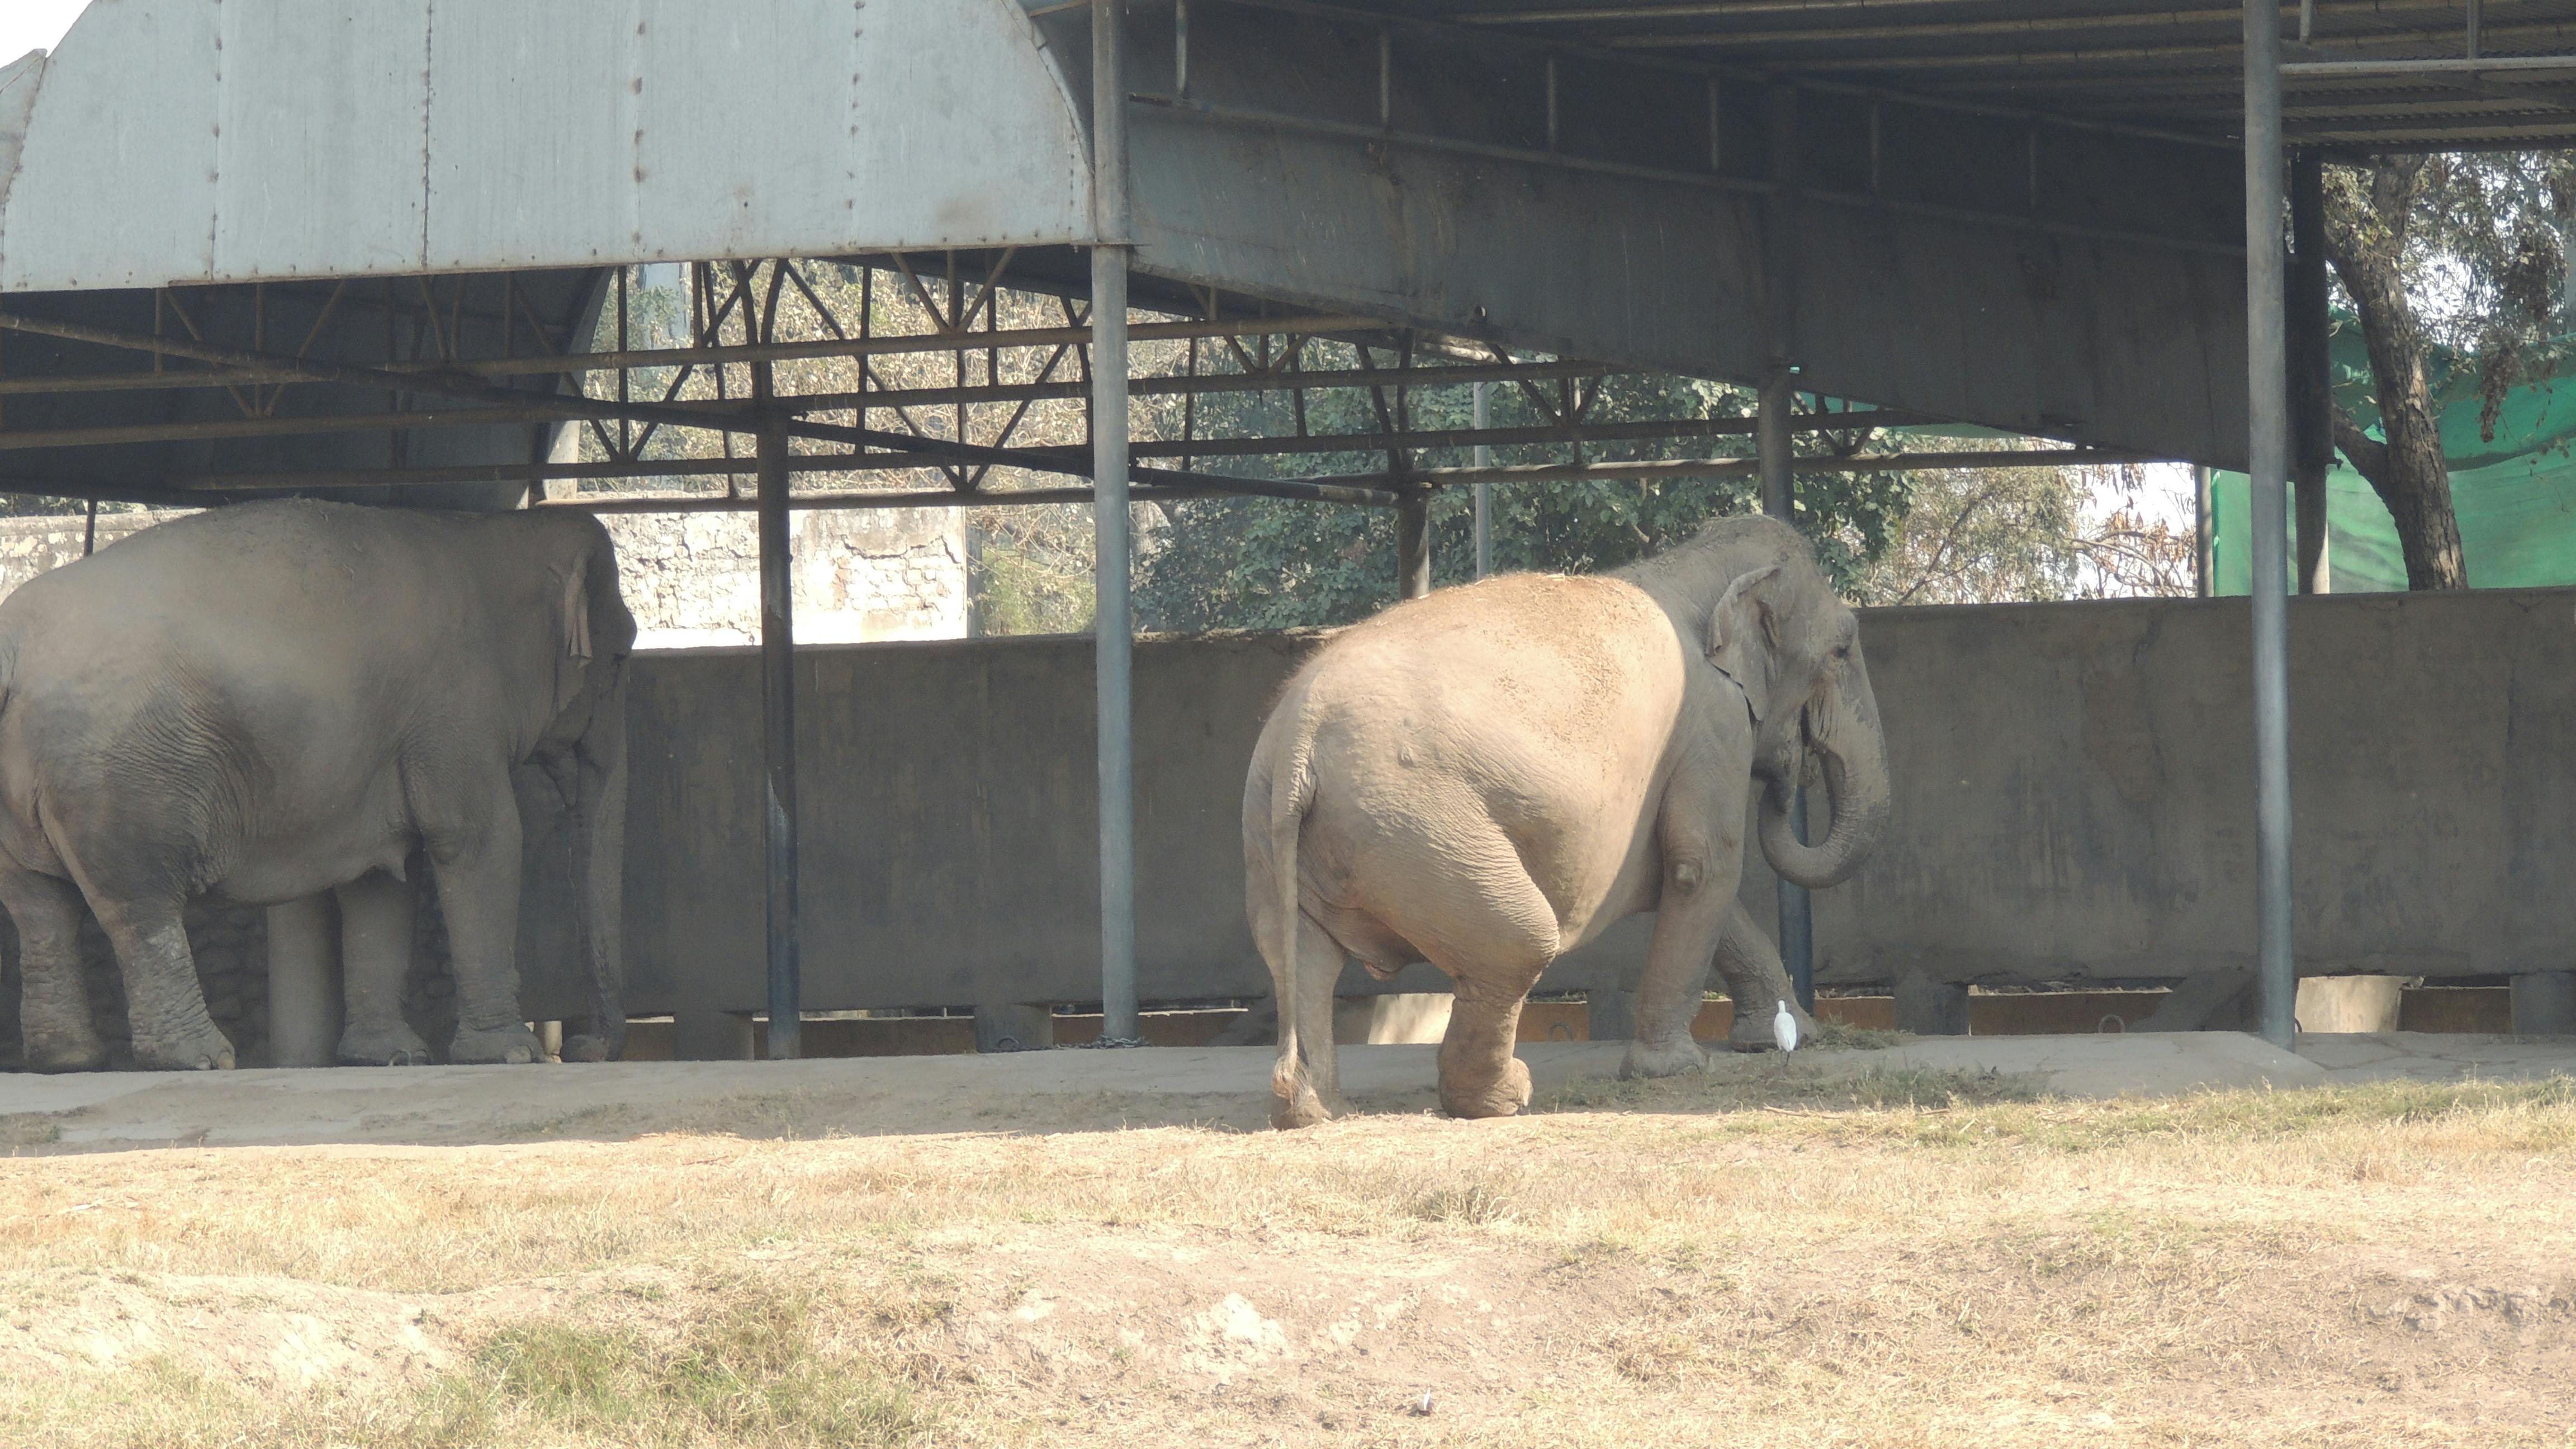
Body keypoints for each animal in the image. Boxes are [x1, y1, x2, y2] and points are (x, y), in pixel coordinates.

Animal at [0, 490, 633, 1067]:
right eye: (623, 657)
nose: (585, 1047)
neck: (498, 534)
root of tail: (13, 644)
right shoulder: (456, 708)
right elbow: (479, 839)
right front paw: (507, 1054)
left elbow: (382, 872)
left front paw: (392, 1057)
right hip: (119, 776)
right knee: (138, 904)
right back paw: (202, 1059)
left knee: (39, 906)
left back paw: (69, 1061)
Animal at [1236, 513, 1886, 1124]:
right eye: (1841, 649)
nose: (1788, 778)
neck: (1693, 565)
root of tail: (1300, 733)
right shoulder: (1712, 726)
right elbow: (1702, 866)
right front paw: (1677, 1069)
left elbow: (1686, 881)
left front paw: (1792, 1036)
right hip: (1415, 826)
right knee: (1519, 944)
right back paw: (1506, 1097)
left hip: (1283, 832)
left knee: (1300, 956)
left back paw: (1312, 1110)